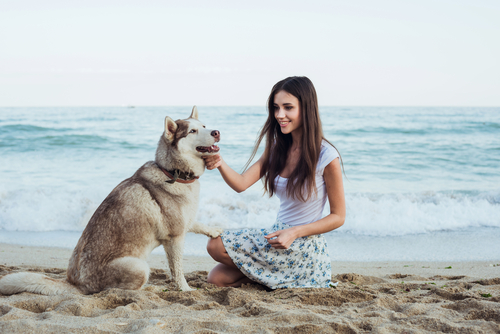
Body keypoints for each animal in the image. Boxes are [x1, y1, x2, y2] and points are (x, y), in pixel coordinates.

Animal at [0, 106, 223, 294]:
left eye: (204, 126)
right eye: (192, 131)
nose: (216, 132)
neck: (173, 172)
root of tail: (76, 284)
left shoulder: (185, 222)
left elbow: (198, 224)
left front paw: (214, 230)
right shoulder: (175, 237)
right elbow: (177, 270)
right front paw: (185, 289)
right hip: (139, 267)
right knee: (122, 289)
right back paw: (153, 289)